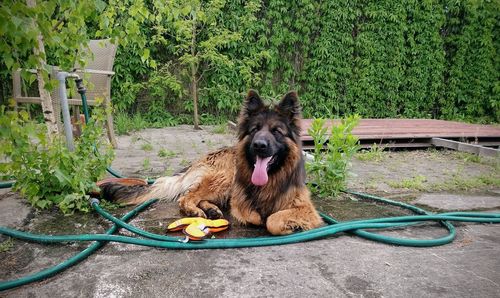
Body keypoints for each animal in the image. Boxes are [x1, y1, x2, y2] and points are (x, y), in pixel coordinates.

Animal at [102, 91, 322, 235]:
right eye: (255, 130)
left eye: (276, 131)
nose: (259, 145)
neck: (270, 179)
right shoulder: (239, 201)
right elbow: (256, 216)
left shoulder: (306, 208)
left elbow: (273, 219)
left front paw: (288, 224)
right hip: (225, 177)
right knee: (186, 197)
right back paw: (197, 210)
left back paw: (211, 209)